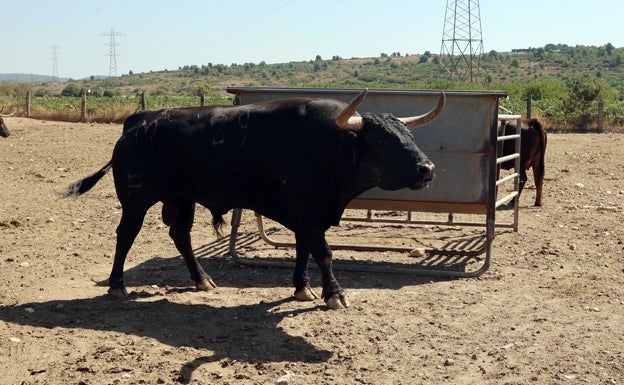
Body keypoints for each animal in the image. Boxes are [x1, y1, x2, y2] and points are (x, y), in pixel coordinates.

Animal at [66, 90, 444, 308]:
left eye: (409, 136)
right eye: (381, 141)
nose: (427, 169)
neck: (328, 145)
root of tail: (140, 120)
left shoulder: (307, 215)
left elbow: (305, 250)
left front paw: (302, 288)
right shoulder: (308, 212)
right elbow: (323, 253)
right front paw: (334, 294)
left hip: (182, 198)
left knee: (181, 235)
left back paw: (201, 279)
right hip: (136, 200)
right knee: (125, 236)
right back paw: (117, 286)